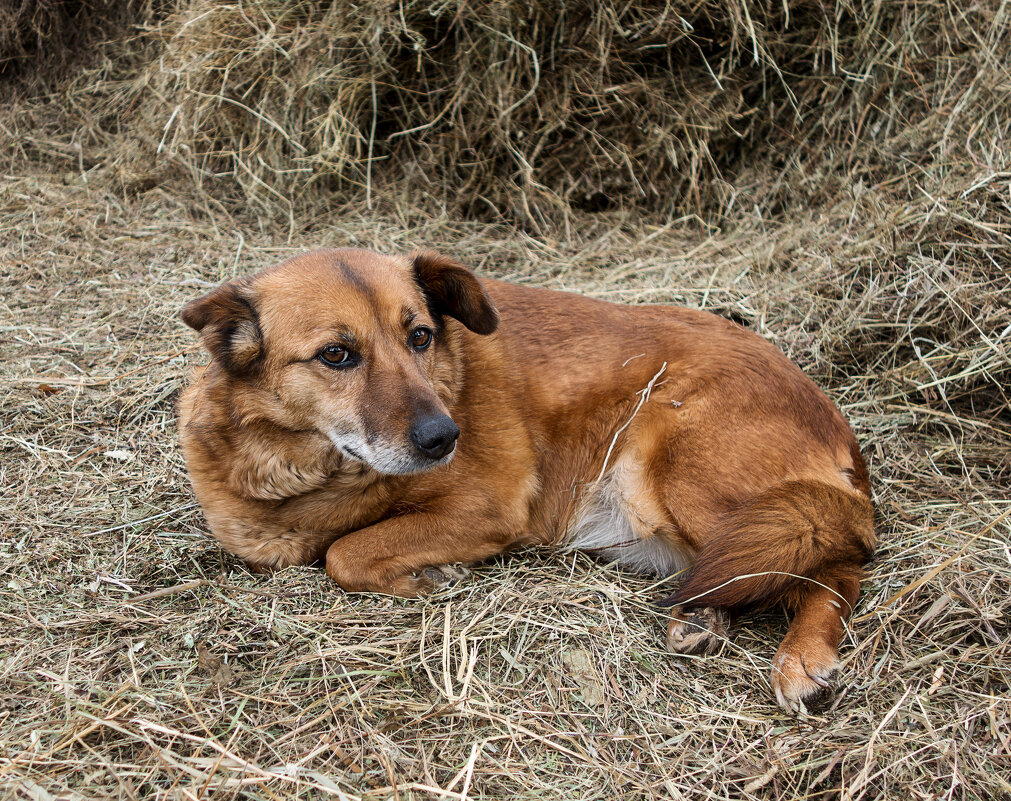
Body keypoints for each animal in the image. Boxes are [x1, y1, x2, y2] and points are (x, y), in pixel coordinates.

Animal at [177, 248, 873, 712]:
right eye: (336, 355)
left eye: (420, 336)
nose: (445, 437)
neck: (315, 476)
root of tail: (834, 417)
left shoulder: (487, 507)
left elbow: (344, 554)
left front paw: (425, 575)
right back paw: (706, 617)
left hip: (671, 472)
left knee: (833, 564)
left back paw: (801, 657)